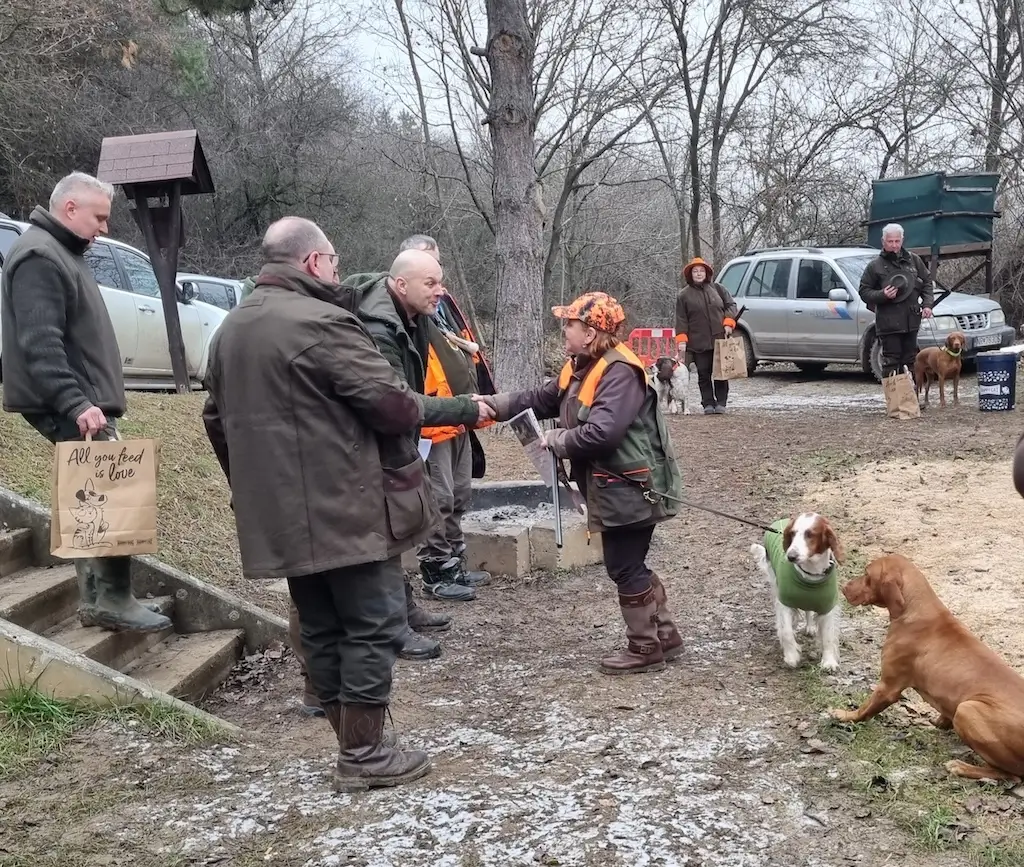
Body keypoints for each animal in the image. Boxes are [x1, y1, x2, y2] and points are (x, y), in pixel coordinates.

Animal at [750, 513, 844, 671]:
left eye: (810, 534)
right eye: (792, 534)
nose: (791, 556)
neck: (810, 576)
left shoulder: (827, 607)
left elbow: (828, 636)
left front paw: (828, 661)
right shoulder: (784, 603)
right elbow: (787, 631)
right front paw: (791, 656)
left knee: (808, 611)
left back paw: (810, 627)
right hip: (775, 585)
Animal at [829, 554, 1024, 783]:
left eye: (867, 574)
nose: (843, 587)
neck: (916, 608)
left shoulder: (888, 687)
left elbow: (864, 709)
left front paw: (844, 715)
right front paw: (939, 723)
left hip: (967, 709)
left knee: (1011, 774)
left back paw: (962, 767)